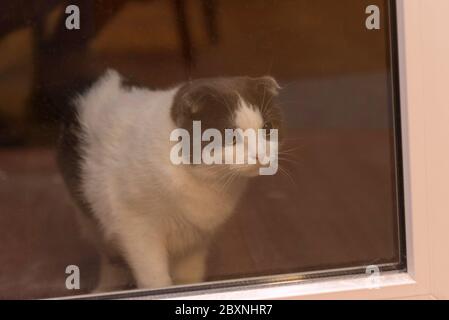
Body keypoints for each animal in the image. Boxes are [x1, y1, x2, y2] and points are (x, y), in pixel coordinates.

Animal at [56, 70, 280, 292]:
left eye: (267, 128)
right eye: (231, 136)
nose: (260, 155)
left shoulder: (195, 243)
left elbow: (189, 278)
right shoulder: (138, 230)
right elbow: (155, 279)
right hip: (91, 220)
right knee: (110, 258)